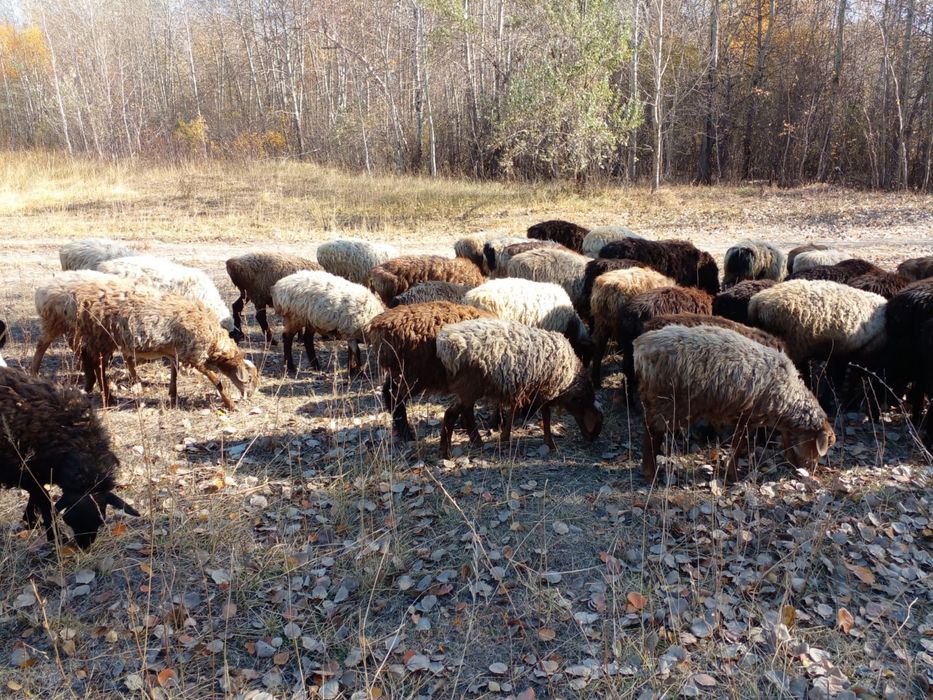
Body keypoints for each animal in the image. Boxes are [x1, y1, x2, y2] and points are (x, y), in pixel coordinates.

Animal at [0, 367, 139, 548]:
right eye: (69, 520)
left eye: (100, 520)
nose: (84, 547)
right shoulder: (25, 473)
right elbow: (45, 502)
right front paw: (56, 538)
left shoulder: (38, 473)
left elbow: (37, 499)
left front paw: (30, 521)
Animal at [73, 280, 259, 409]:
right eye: (249, 379)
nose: (249, 396)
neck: (213, 339)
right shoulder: (194, 355)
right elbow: (216, 379)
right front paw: (230, 404)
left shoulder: (174, 352)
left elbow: (174, 373)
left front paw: (173, 395)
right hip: (103, 339)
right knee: (98, 366)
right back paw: (107, 397)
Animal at [368, 301, 497, 441]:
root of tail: (377, 325)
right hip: (412, 375)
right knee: (395, 398)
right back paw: (407, 434)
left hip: (398, 372)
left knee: (387, 391)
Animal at [435, 318, 603, 456]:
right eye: (596, 424)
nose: (591, 440)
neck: (571, 380)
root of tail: (446, 344)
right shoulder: (545, 390)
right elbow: (546, 416)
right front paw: (550, 443)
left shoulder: (526, 390)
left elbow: (515, 412)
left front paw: (505, 437)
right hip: (471, 386)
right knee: (456, 413)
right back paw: (450, 450)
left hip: (467, 388)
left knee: (460, 411)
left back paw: (465, 445)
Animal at [634, 325, 835, 483]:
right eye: (828, 445)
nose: (812, 470)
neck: (789, 395)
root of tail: (641, 347)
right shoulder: (750, 416)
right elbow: (740, 446)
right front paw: (733, 476)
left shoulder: (746, 417)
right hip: (669, 403)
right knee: (652, 433)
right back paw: (650, 473)